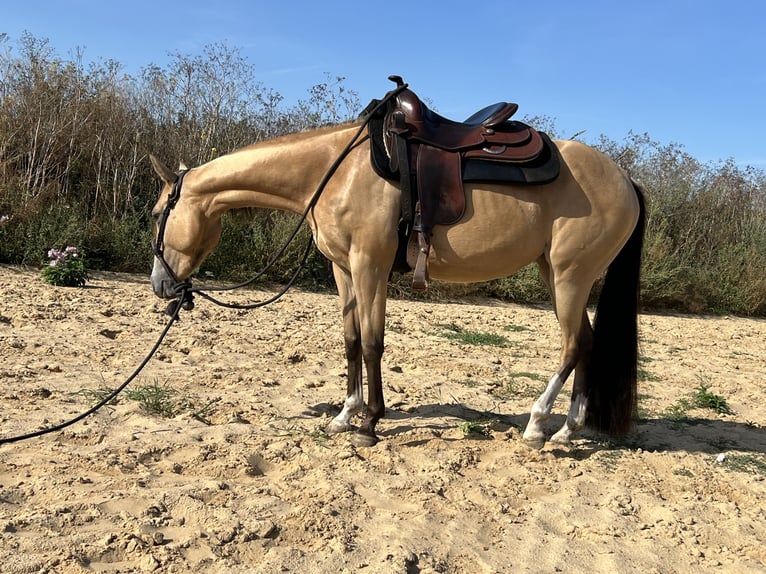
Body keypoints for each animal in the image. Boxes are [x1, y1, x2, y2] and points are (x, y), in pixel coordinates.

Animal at [147, 79, 644, 452]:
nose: (161, 286)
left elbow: (372, 343)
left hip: (570, 275)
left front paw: (369, 424)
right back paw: (567, 430)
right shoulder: (344, 271)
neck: (335, 171)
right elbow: (350, 342)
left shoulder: (370, 265)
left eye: (156, 214)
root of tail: (626, 180)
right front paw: (345, 415)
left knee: (573, 345)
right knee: (588, 343)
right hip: (556, 274)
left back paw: (539, 424)